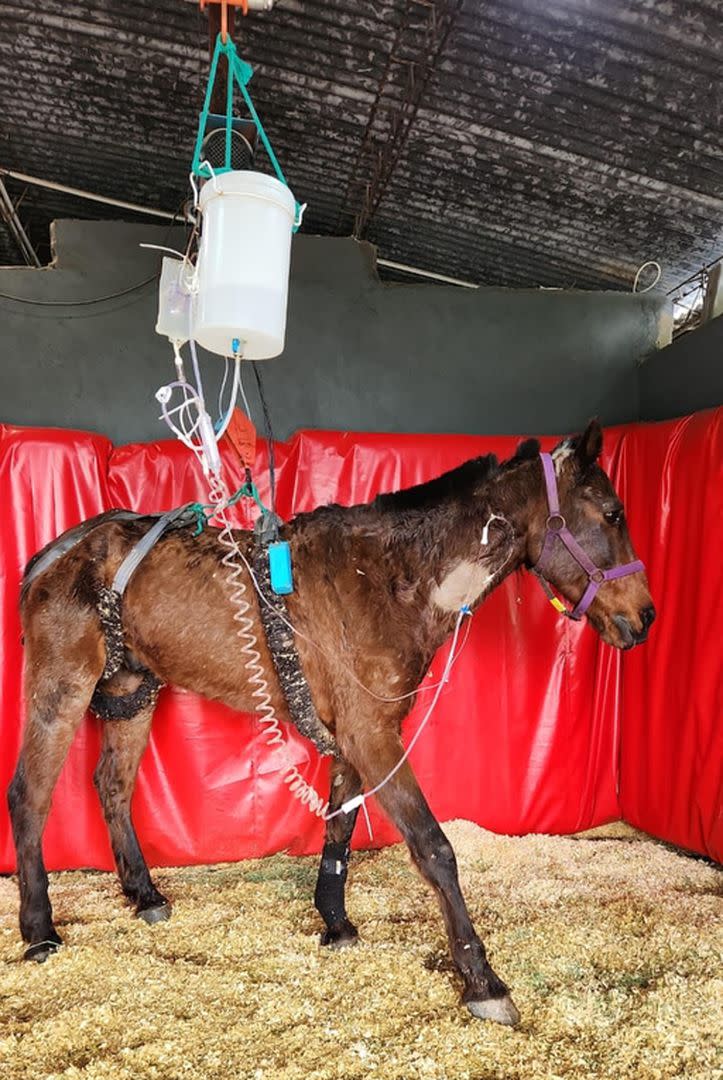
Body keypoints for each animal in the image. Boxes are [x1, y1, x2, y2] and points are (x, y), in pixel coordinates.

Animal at [5, 416, 652, 1023]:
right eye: (613, 513)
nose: (644, 617)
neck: (386, 578)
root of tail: (56, 553)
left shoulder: (354, 738)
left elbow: (340, 828)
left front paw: (335, 921)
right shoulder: (373, 735)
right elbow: (434, 848)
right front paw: (482, 981)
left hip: (132, 691)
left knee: (112, 786)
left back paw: (144, 895)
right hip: (62, 688)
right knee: (30, 796)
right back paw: (39, 930)